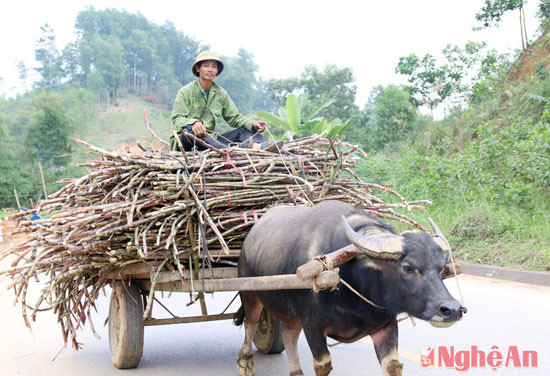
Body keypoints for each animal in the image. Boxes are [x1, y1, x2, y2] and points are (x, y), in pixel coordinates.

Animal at [235, 200, 464, 376]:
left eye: (441, 266)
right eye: (408, 268)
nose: (451, 309)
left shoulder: (386, 325)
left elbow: (392, 366)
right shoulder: (312, 325)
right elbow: (323, 365)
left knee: (289, 335)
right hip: (250, 294)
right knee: (251, 325)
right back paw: (245, 362)